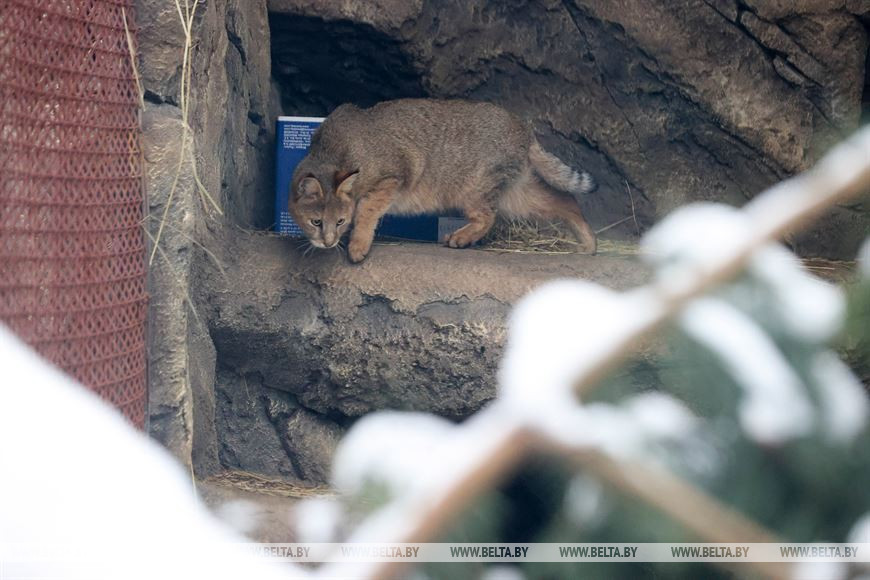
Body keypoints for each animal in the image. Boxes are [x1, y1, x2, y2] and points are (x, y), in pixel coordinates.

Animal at [290, 99, 596, 262]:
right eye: (316, 222)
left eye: (340, 221)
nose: (328, 242)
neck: (334, 150)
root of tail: (523, 127)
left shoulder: (392, 177)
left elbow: (366, 211)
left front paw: (358, 246)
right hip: (517, 194)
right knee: (566, 199)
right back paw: (588, 243)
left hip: (473, 189)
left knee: (488, 217)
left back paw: (460, 238)